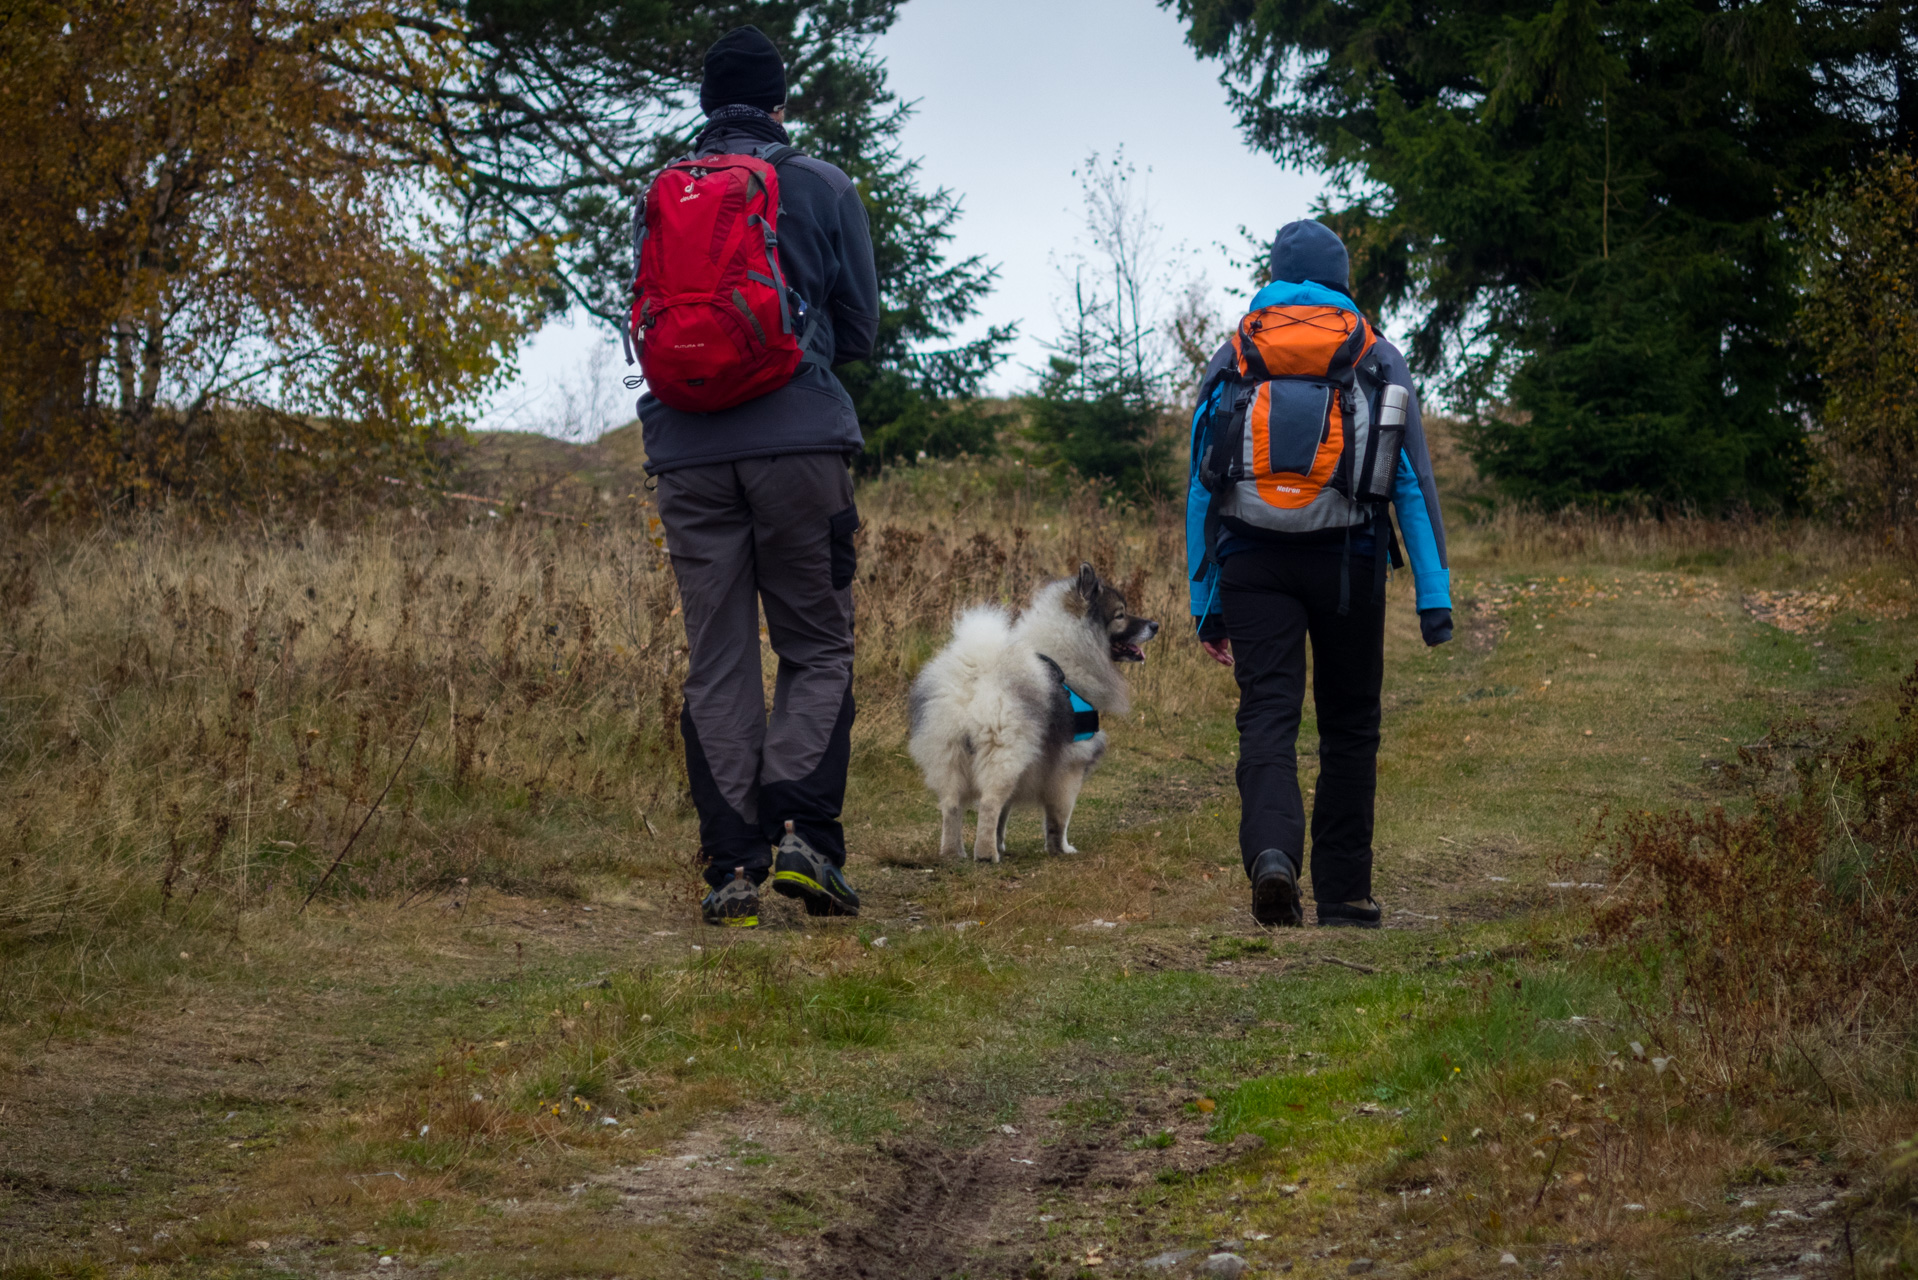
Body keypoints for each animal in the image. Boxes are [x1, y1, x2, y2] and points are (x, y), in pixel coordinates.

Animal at [909, 564, 1158, 867]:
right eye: (1120, 614)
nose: (1155, 625)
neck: (1069, 656)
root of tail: (974, 681)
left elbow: (1004, 815)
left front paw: (1002, 842)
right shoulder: (1069, 767)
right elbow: (1059, 818)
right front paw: (1061, 849)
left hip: (949, 755)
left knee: (951, 805)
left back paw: (953, 853)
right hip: (1004, 755)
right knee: (988, 803)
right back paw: (986, 854)